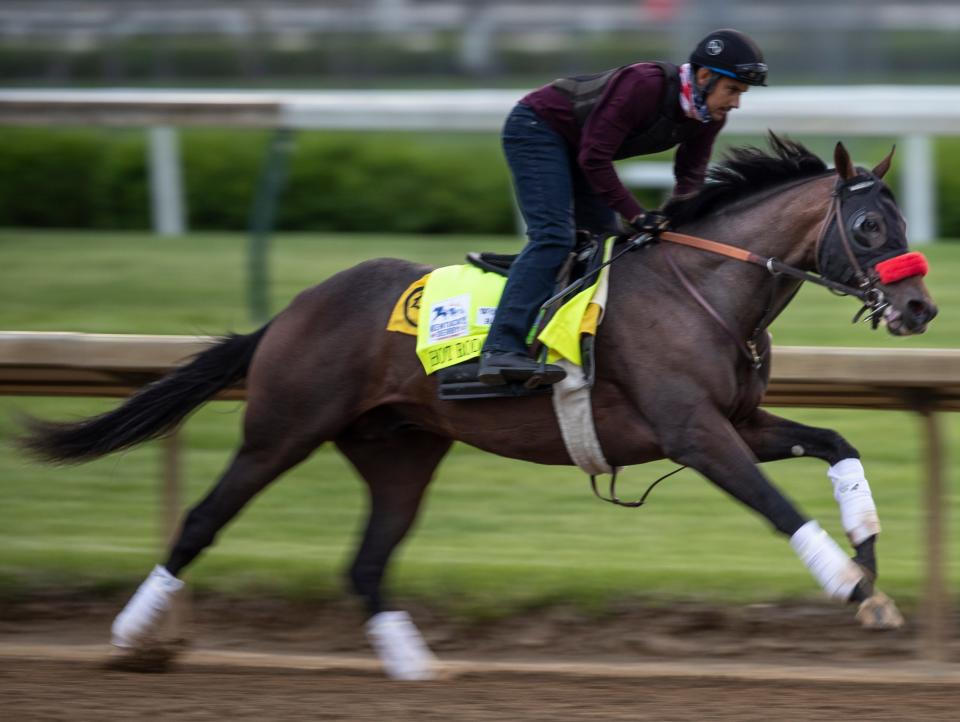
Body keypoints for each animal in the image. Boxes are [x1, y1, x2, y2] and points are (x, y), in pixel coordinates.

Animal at [20, 136, 936, 680]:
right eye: (868, 227)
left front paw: (870, 562)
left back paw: (415, 667)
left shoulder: (741, 421)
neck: (704, 287)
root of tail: (290, 312)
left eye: (900, 220)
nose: (922, 308)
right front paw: (852, 585)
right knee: (202, 520)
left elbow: (838, 441)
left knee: (366, 562)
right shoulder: (695, 432)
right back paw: (131, 635)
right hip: (281, 429)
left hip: (400, 449)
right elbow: (776, 504)